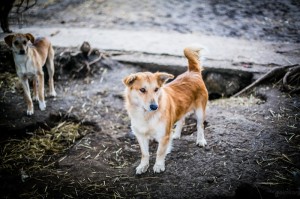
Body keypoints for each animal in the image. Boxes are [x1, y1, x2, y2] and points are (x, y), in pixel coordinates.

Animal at [123, 46, 207, 174]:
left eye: (156, 89)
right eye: (142, 90)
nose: (154, 106)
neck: (146, 115)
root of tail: (193, 72)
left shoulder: (163, 136)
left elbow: (159, 152)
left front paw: (158, 165)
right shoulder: (141, 135)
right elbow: (145, 153)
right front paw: (143, 166)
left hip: (200, 111)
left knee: (200, 125)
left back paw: (201, 140)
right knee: (182, 120)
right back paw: (176, 134)